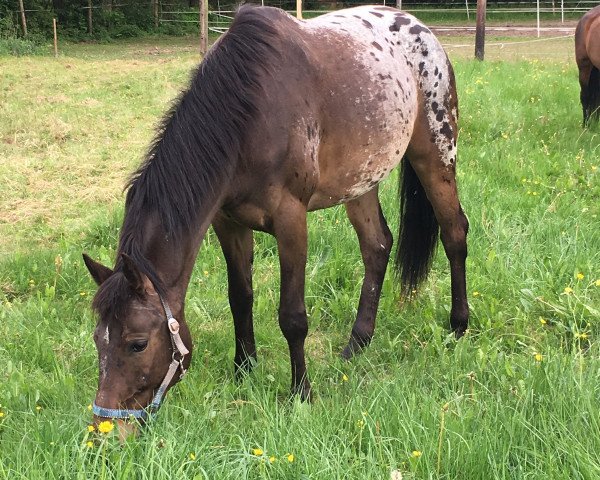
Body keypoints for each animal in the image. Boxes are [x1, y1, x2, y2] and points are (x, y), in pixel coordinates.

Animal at [82, 3, 472, 432]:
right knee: (377, 246)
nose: (105, 425)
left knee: (454, 233)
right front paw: (244, 370)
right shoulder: (228, 223)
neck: (247, 118)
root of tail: (423, 31)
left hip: (435, 156)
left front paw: (301, 392)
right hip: (361, 182)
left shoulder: (291, 221)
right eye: (98, 339)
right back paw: (357, 343)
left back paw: (458, 326)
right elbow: (240, 298)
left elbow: (293, 317)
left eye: (137, 343)